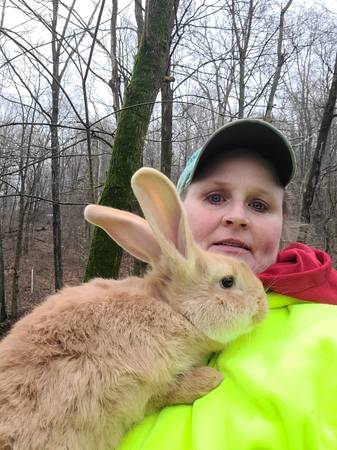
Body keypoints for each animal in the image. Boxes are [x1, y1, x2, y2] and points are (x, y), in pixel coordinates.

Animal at [0, 167, 268, 448]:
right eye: (227, 281)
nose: (262, 306)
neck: (174, 310)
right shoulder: (143, 383)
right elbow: (169, 391)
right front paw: (210, 380)